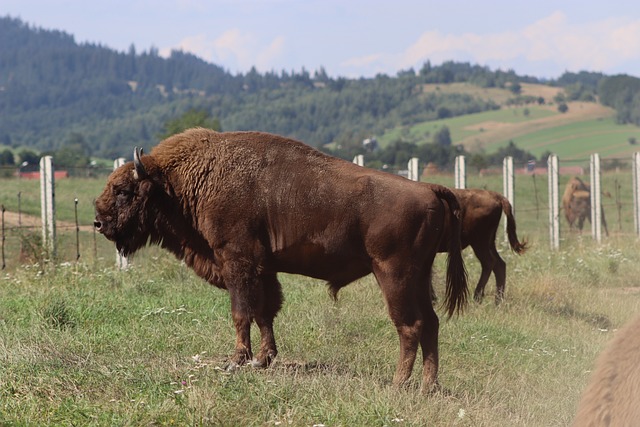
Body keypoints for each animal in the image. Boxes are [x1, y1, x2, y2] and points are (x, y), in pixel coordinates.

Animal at [92, 129, 468, 392]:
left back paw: (397, 384)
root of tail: (429, 189)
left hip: (394, 274)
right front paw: (263, 360)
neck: (186, 180)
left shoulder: (237, 261)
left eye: (124, 190)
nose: (98, 222)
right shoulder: (263, 269)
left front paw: (236, 361)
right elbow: (265, 312)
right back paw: (428, 387)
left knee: (409, 325)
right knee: (431, 323)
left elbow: (242, 312)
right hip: (419, 276)